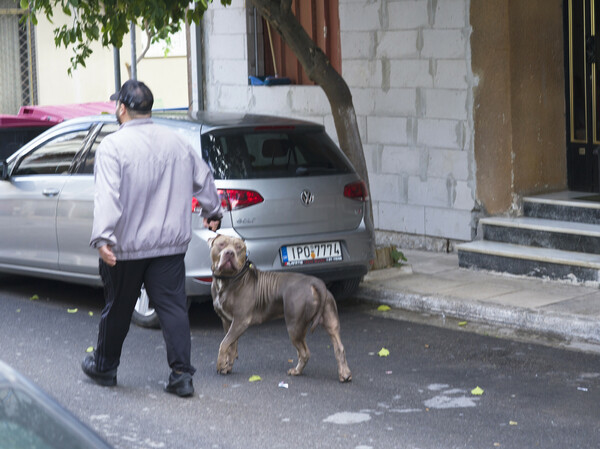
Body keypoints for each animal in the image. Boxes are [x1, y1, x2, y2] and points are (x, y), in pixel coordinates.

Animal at [210, 234, 352, 382]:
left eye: (239, 247)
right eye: (221, 244)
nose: (229, 253)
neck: (227, 280)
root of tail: (315, 282)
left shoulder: (240, 321)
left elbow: (224, 343)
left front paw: (220, 364)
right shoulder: (227, 321)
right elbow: (231, 346)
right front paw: (227, 366)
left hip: (294, 327)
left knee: (304, 352)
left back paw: (297, 371)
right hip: (331, 322)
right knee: (339, 347)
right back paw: (345, 374)